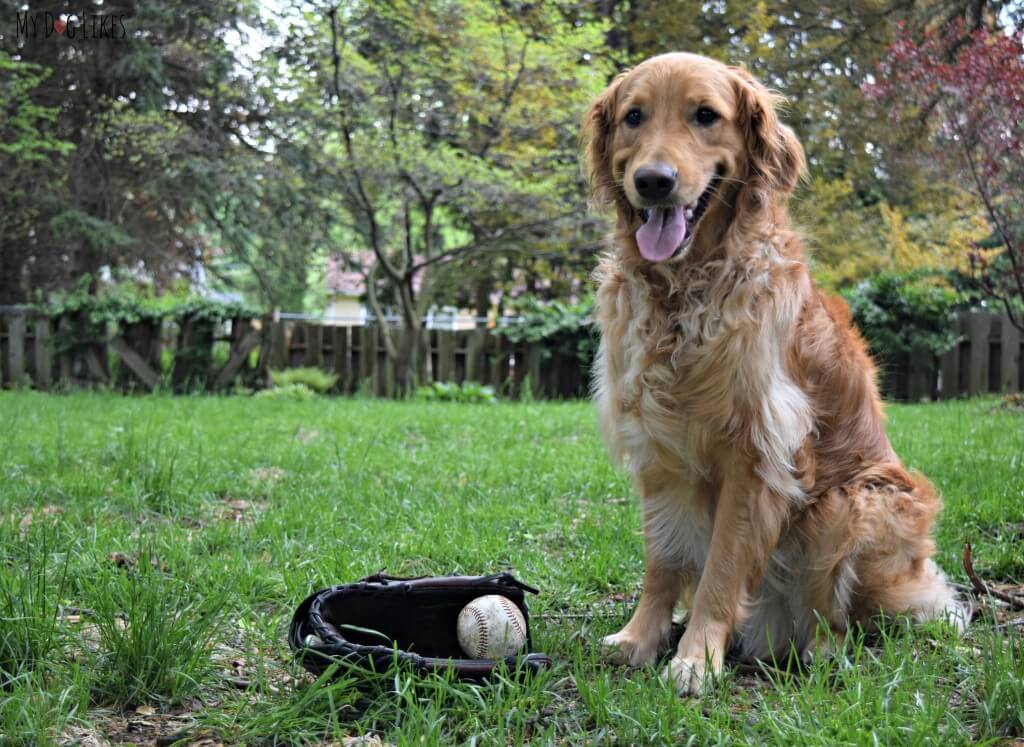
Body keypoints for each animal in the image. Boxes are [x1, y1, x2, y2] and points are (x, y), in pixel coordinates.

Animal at [581, 53, 962, 692]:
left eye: (705, 115)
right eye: (634, 116)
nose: (654, 181)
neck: (686, 291)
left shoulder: (757, 451)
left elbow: (722, 566)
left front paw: (695, 658)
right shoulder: (658, 448)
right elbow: (663, 559)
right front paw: (641, 638)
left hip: (855, 502)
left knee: (838, 616)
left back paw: (820, 652)